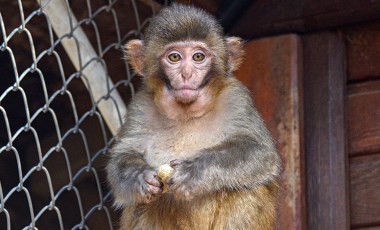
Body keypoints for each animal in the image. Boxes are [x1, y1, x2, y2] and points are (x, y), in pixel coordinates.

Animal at [105, 3, 280, 230]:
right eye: (174, 57)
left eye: (198, 57)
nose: (186, 74)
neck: (185, 113)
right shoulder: (140, 106)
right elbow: (121, 157)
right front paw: (139, 177)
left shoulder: (236, 98)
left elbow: (260, 152)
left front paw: (194, 171)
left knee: (244, 189)